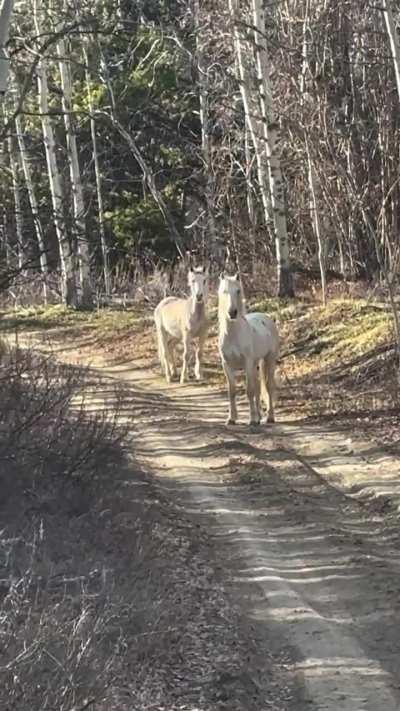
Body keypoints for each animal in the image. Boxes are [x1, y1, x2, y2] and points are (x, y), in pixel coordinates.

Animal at [218, 273, 279, 426]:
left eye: (238, 291)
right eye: (224, 291)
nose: (232, 312)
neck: (233, 335)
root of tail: (266, 317)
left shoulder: (247, 363)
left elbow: (249, 390)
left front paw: (252, 419)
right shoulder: (226, 364)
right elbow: (232, 391)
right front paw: (231, 418)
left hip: (269, 359)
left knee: (268, 386)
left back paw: (269, 417)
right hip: (255, 364)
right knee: (258, 387)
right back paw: (259, 416)